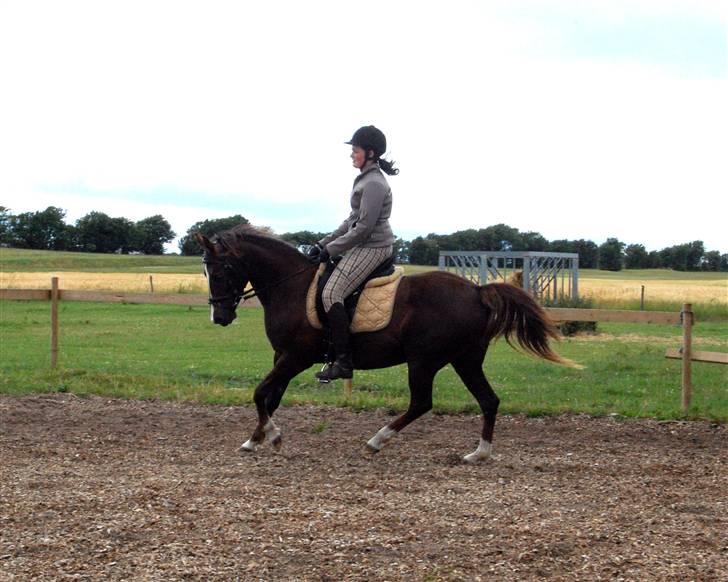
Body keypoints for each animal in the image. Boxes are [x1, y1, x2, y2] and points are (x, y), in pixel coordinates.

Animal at [196, 228, 576, 466]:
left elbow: (260, 393)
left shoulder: (295, 357)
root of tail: (476, 291)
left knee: (422, 402)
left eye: (222, 270)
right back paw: (479, 454)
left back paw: (377, 441)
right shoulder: (283, 356)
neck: (292, 286)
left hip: (424, 361)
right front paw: (255, 439)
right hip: (465, 360)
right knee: (489, 400)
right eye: (206, 272)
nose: (219, 316)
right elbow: (270, 398)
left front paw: (272, 437)